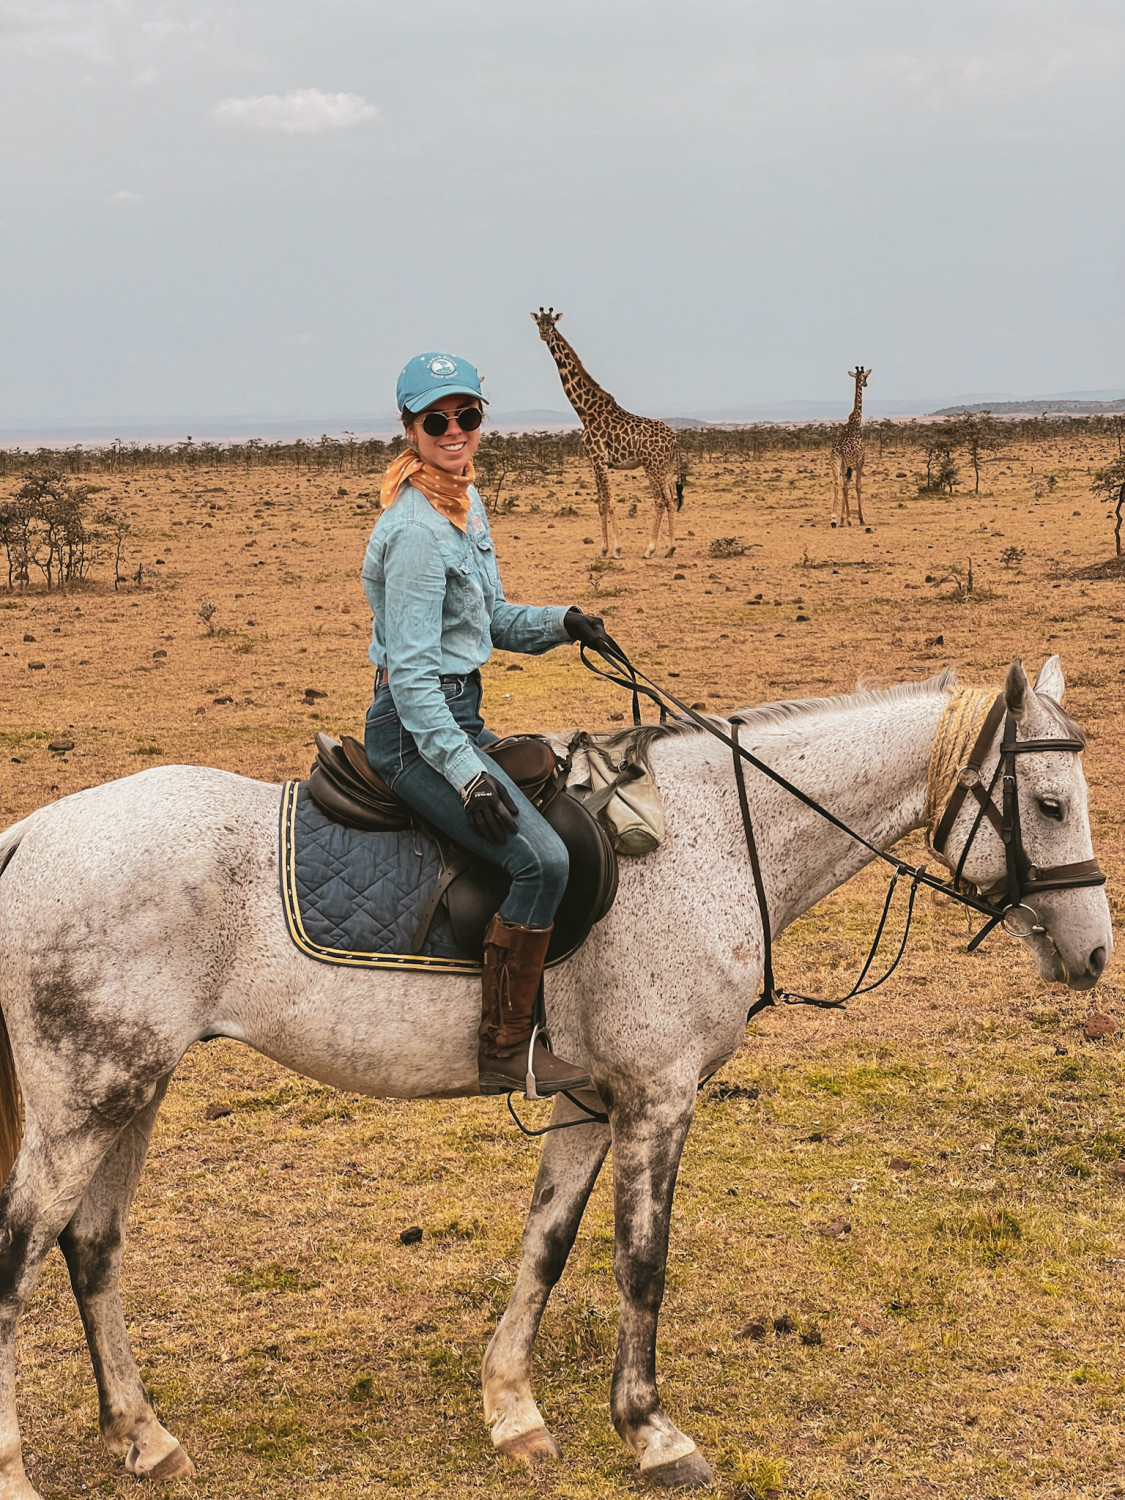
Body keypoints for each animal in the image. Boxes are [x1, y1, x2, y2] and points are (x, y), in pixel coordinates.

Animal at [0, 654, 1116, 1488]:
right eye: (1050, 803)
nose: (1094, 954)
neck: (712, 838)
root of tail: (28, 834)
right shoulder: (658, 1095)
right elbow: (640, 1262)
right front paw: (652, 1432)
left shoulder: (587, 1096)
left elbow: (547, 1245)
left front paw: (513, 1411)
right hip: (85, 1100)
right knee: (20, 1258)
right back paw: (22, 1468)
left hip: (134, 1090)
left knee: (92, 1250)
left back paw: (145, 1437)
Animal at [531, 304, 684, 558]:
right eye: (538, 323)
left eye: (552, 323)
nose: (544, 333)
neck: (585, 411)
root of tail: (674, 439)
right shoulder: (594, 462)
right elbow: (600, 503)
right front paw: (603, 548)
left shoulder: (600, 460)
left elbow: (610, 502)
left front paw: (617, 549)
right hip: (666, 467)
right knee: (671, 500)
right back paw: (670, 547)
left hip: (652, 464)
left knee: (660, 500)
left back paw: (649, 549)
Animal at [834, 363, 876, 528]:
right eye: (865, 376)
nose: (866, 384)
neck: (856, 422)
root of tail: (839, 449)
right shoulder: (860, 460)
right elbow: (858, 486)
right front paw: (861, 518)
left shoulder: (849, 465)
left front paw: (843, 518)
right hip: (848, 464)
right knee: (845, 486)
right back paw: (849, 520)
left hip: (840, 464)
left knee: (840, 485)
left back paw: (840, 520)